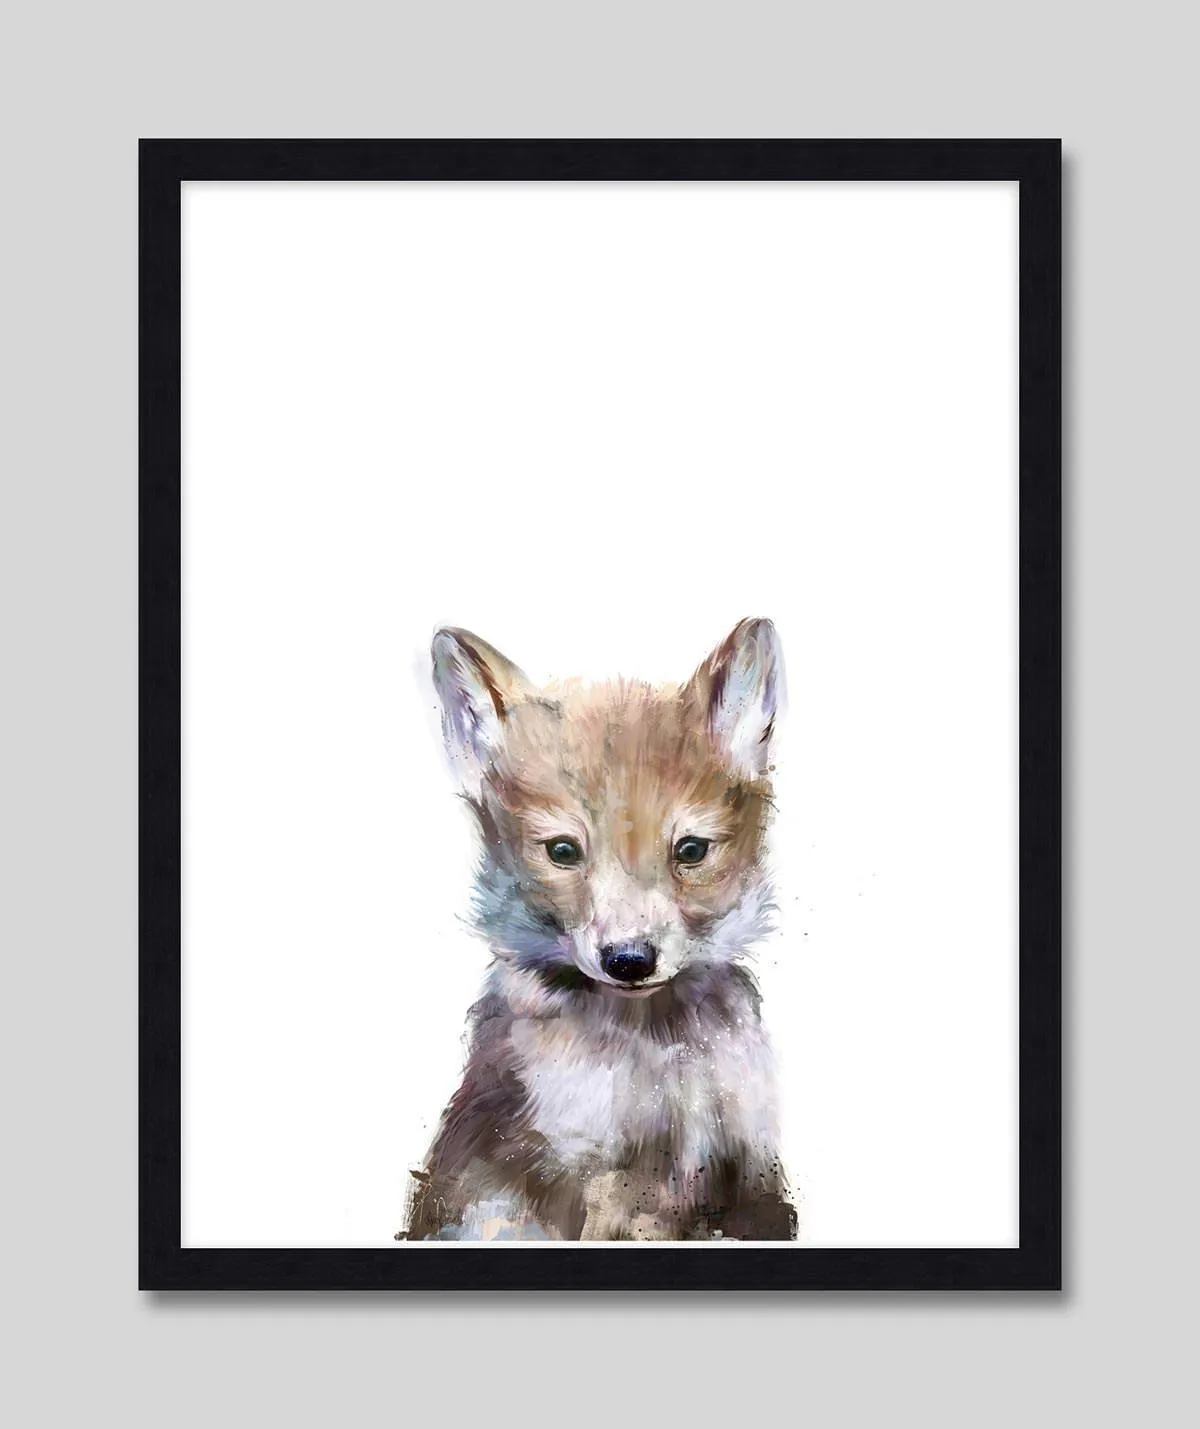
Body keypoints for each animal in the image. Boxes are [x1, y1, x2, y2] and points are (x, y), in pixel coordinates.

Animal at [400, 619, 796, 1241]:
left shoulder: (750, 1168)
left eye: (691, 851)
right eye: (563, 851)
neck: (655, 1053)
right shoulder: (584, 1172)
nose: (629, 961)